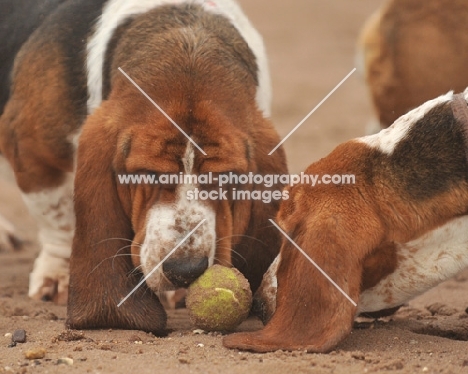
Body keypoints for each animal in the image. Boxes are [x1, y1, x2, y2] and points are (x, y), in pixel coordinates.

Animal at [0, 0, 288, 334]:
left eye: (227, 177)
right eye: (146, 174)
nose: (185, 271)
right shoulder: (31, 152)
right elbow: (58, 218)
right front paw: (58, 276)